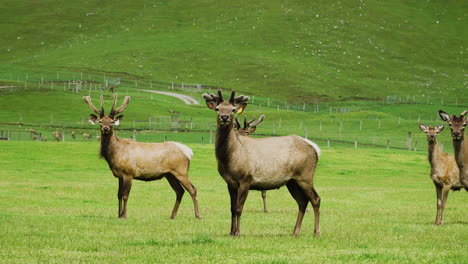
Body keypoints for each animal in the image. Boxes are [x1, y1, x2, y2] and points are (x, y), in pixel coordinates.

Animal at [203, 91, 320, 237]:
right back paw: (295, 232)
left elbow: (239, 208)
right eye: (217, 108)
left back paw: (316, 232)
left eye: (233, 109)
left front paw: (238, 233)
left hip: (305, 176)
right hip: (292, 181)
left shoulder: (245, 179)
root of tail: (315, 149)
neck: (230, 157)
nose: (225, 117)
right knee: (302, 202)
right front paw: (231, 232)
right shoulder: (230, 183)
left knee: (316, 199)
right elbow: (232, 208)